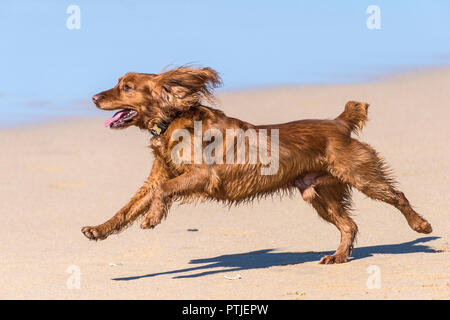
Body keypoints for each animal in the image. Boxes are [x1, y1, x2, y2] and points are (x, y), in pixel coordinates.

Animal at [81, 66, 432, 264]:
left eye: (126, 87)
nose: (94, 97)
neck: (173, 120)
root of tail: (339, 122)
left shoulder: (203, 175)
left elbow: (163, 191)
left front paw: (153, 217)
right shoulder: (158, 176)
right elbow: (127, 208)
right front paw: (98, 229)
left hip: (361, 176)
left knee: (398, 196)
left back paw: (421, 226)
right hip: (318, 193)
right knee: (350, 225)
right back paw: (339, 256)